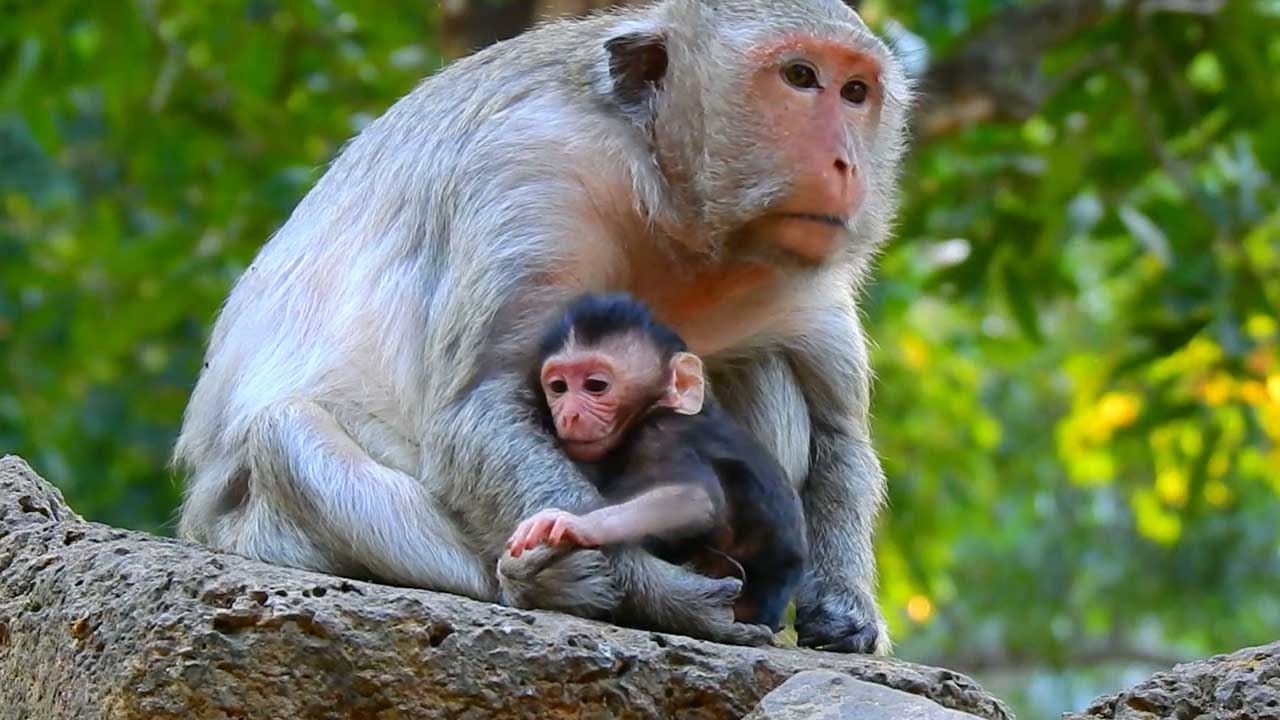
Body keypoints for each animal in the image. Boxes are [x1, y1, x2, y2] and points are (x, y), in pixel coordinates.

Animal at [505, 293, 807, 632]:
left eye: (595, 385)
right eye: (558, 387)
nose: (568, 415)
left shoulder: (661, 432)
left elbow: (692, 498)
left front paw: (575, 524)